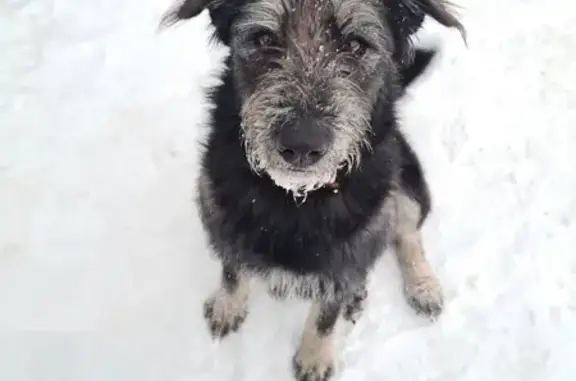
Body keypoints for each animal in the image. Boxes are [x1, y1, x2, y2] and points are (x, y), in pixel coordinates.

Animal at [161, 1, 464, 378]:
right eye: (263, 38)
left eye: (356, 45)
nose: (302, 145)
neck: (296, 198)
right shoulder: (224, 217)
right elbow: (232, 271)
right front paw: (227, 307)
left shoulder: (346, 256)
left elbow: (326, 315)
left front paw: (314, 358)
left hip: (405, 187)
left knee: (406, 233)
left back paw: (421, 287)